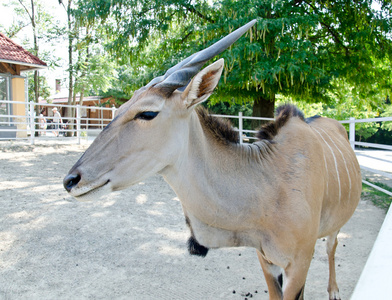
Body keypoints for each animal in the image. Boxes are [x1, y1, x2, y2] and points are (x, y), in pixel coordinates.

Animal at [63, 19, 362, 298]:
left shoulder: (298, 264)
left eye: (147, 113)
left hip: (335, 227)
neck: (268, 188)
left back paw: (334, 290)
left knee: (332, 245)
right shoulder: (266, 260)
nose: (71, 180)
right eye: (121, 107)